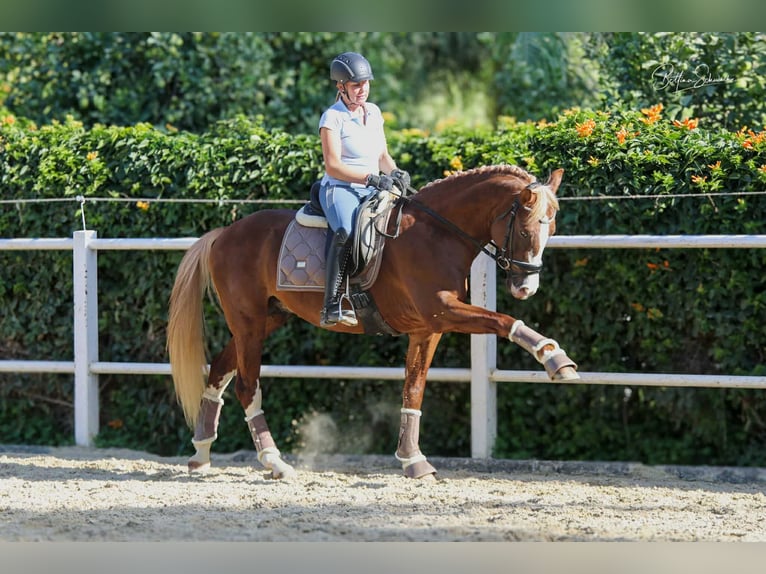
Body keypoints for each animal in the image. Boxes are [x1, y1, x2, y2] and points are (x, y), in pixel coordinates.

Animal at [166, 165, 576, 482]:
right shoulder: (443, 311)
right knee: (247, 386)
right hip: (249, 322)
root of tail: (224, 233)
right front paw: (555, 359)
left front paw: (413, 461)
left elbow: (413, 391)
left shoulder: (428, 328)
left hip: (265, 319)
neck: (436, 233)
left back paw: (200, 454)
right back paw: (275, 462)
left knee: (220, 369)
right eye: (524, 232)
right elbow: (504, 320)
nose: (526, 287)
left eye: (552, 231)